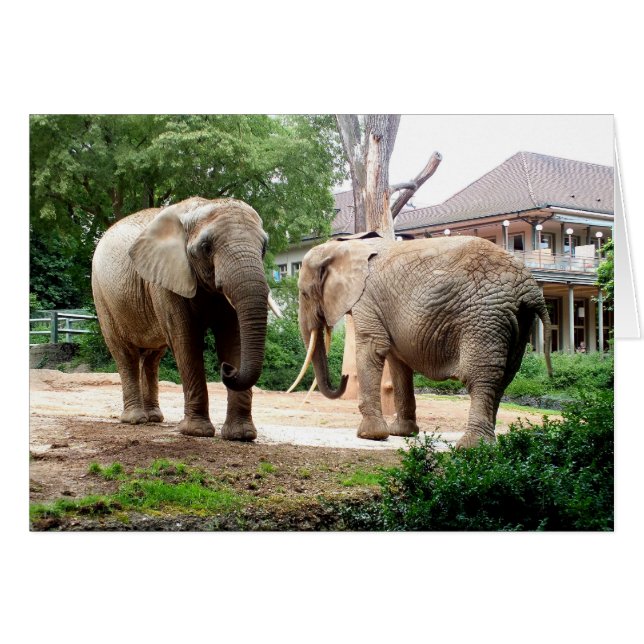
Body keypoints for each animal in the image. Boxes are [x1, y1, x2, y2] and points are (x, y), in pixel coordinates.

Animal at [91, 196, 280, 440]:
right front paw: (197, 432)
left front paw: (241, 435)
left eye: (264, 248)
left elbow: (233, 339)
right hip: (102, 296)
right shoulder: (165, 280)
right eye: (206, 248)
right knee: (125, 354)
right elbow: (185, 339)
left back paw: (154, 418)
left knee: (152, 358)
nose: (227, 369)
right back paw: (135, 419)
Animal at [290, 234, 552, 448]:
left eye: (303, 293)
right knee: (505, 376)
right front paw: (401, 433)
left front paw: (369, 436)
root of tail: (531, 288)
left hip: (484, 317)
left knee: (481, 377)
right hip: (518, 320)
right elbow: (397, 363)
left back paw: (472, 447)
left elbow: (372, 348)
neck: (345, 246)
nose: (344, 377)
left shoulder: (367, 299)